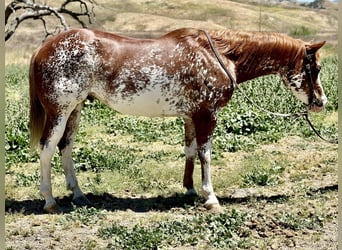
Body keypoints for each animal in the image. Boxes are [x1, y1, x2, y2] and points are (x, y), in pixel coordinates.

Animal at [28, 28, 326, 213]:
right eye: (316, 68)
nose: (320, 103)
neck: (218, 56)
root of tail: (42, 48)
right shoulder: (207, 114)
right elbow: (206, 154)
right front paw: (210, 198)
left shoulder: (191, 116)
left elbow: (190, 150)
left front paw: (190, 190)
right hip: (60, 110)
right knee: (47, 147)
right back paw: (50, 201)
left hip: (76, 109)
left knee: (66, 146)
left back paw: (79, 195)